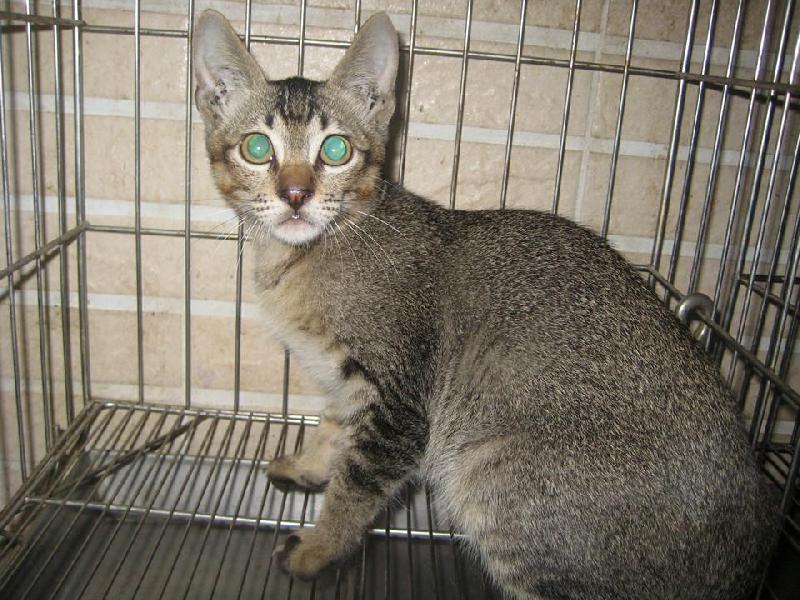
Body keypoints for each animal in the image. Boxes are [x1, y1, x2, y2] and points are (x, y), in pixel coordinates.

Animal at [193, 9, 780, 599]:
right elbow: (333, 425)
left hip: (492, 483)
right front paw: (308, 464)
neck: (307, 254)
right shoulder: (351, 385)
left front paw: (318, 547)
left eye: (335, 151)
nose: (296, 194)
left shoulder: (398, 404)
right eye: (257, 148)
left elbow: (355, 488)